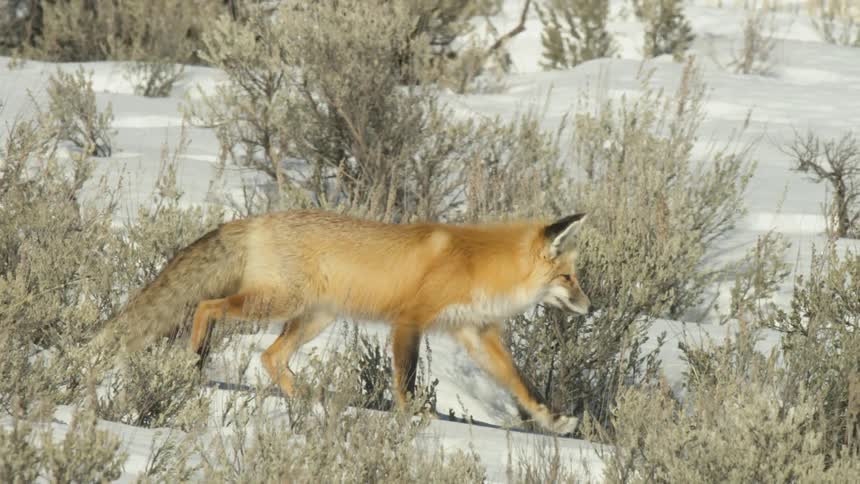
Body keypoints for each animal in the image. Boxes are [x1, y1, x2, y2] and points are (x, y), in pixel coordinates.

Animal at [102, 209, 591, 434]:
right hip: (276, 304)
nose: (590, 307)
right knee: (207, 307)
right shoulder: (409, 322)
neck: (480, 265)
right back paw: (195, 364)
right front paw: (412, 421)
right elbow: (406, 381)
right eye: (569, 278)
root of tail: (257, 219)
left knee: (270, 357)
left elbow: (522, 386)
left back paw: (307, 402)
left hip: (314, 318)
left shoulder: (475, 334)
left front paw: (553, 421)